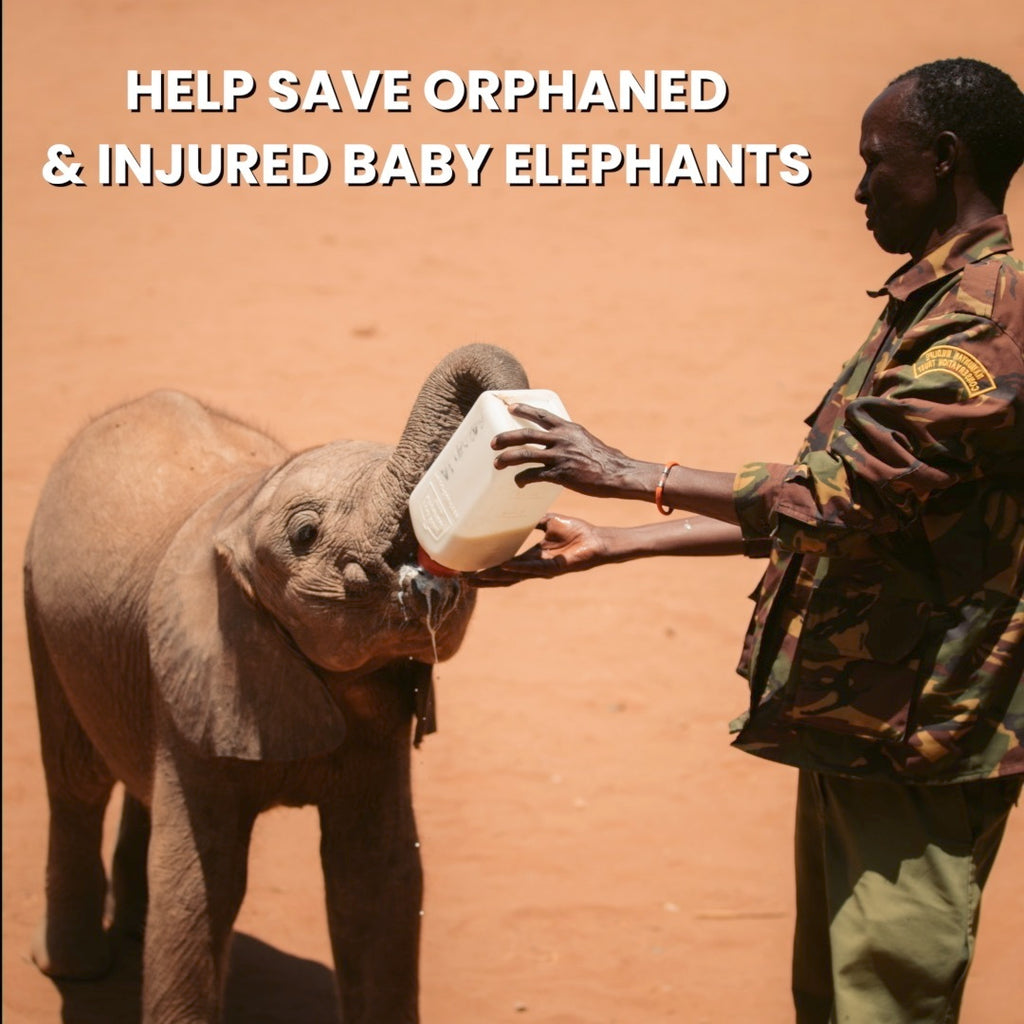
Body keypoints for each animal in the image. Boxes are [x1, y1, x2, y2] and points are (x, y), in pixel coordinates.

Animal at [23, 342, 530, 1024]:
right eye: (305, 534)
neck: (239, 510)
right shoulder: (207, 676)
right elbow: (201, 884)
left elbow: (377, 875)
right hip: (38, 604)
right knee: (76, 780)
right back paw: (73, 970)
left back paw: (129, 931)